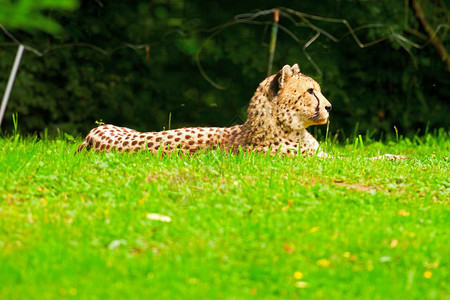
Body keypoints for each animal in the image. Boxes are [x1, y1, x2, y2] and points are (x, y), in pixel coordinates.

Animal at [77, 64, 408, 161]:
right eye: (310, 91)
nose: (328, 107)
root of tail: (92, 134)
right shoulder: (313, 161)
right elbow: (356, 160)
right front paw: (399, 159)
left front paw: (397, 155)